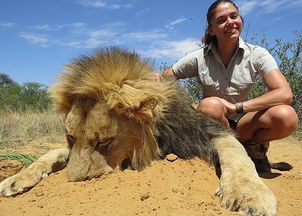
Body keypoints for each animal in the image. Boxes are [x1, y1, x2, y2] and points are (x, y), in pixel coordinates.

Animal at [0, 48, 278, 215]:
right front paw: (16, 179)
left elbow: (234, 150)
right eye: (70, 137)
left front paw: (248, 194)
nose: (74, 182)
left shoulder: (201, 130)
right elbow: (52, 153)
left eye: (105, 142)